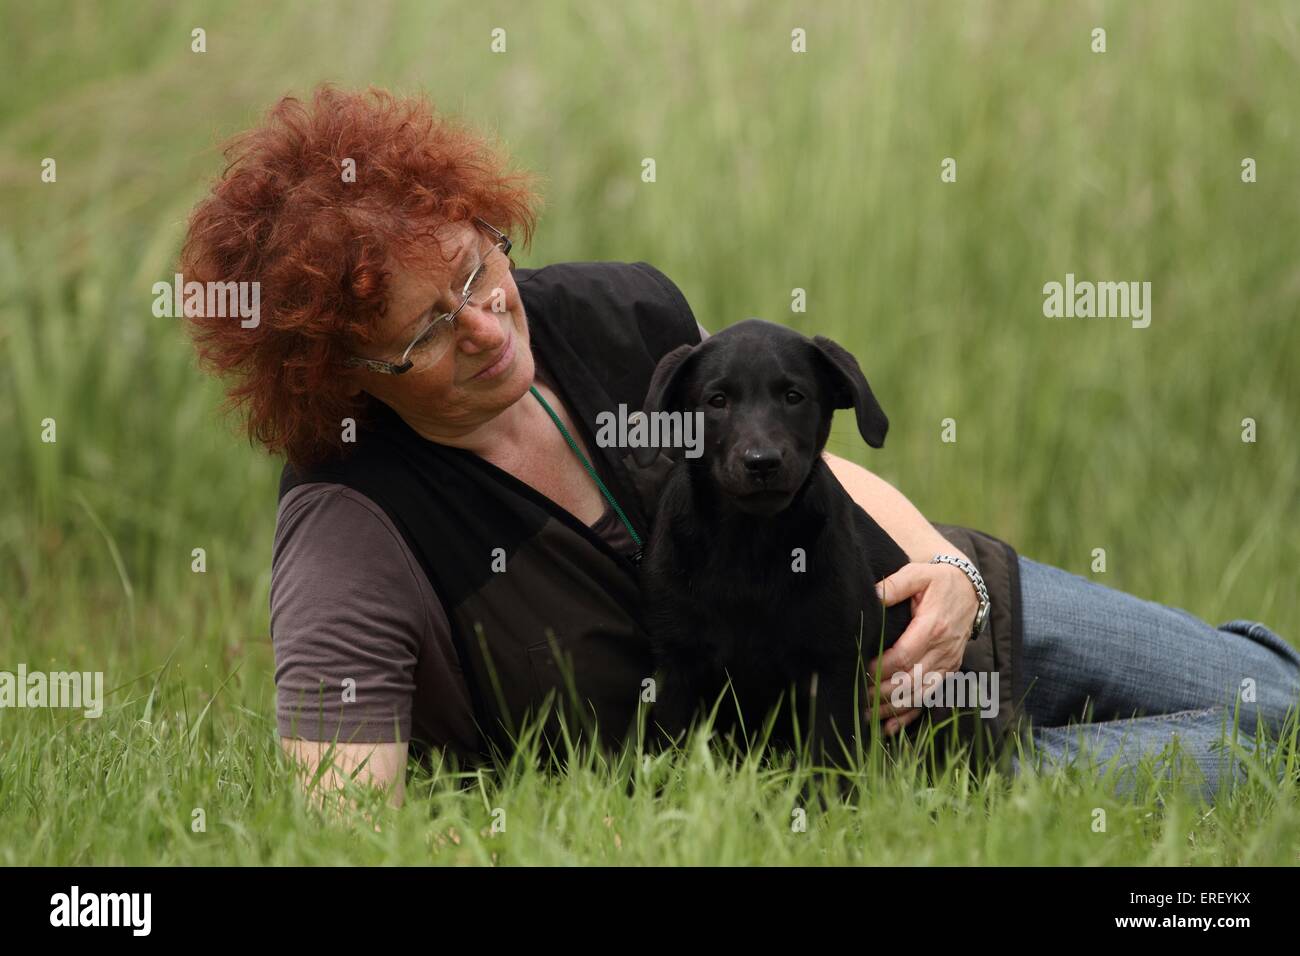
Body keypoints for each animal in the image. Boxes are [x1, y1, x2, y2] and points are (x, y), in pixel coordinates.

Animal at [634, 319, 909, 764]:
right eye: (717, 401)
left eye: (793, 397)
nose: (762, 462)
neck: (750, 541)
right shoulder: (676, 663)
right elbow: (672, 750)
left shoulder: (832, 666)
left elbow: (827, 760)